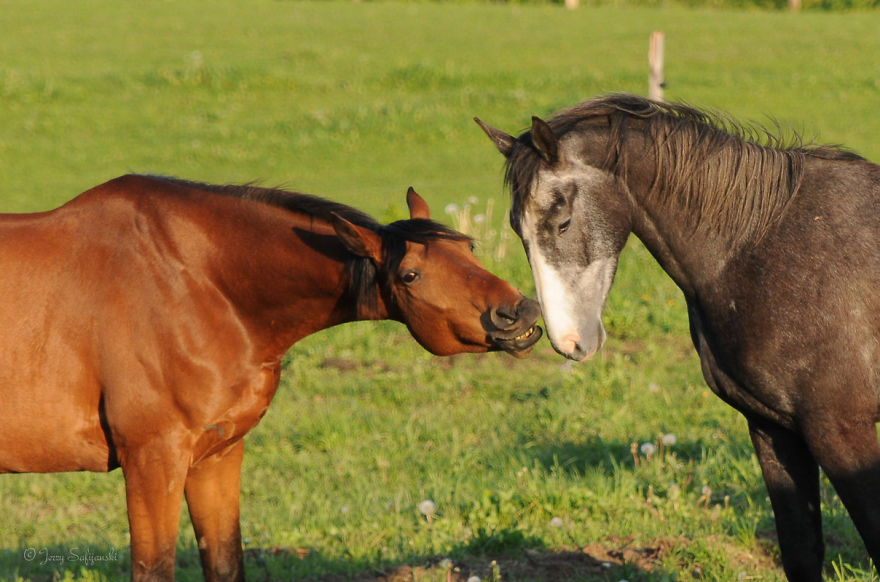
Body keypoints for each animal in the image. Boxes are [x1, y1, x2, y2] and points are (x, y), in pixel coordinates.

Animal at [0, 174, 542, 582]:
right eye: (409, 274)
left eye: (470, 247)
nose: (519, 312)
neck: (194, 283)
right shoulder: (152, 459)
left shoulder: (216, 456)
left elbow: (225, 564)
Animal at [476, 93, 880, 581]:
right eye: (517, 229)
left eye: (563, 223)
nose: (568, 342)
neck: (761, 245)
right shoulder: (772, 429)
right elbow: (801, 551)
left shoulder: (841, 431)